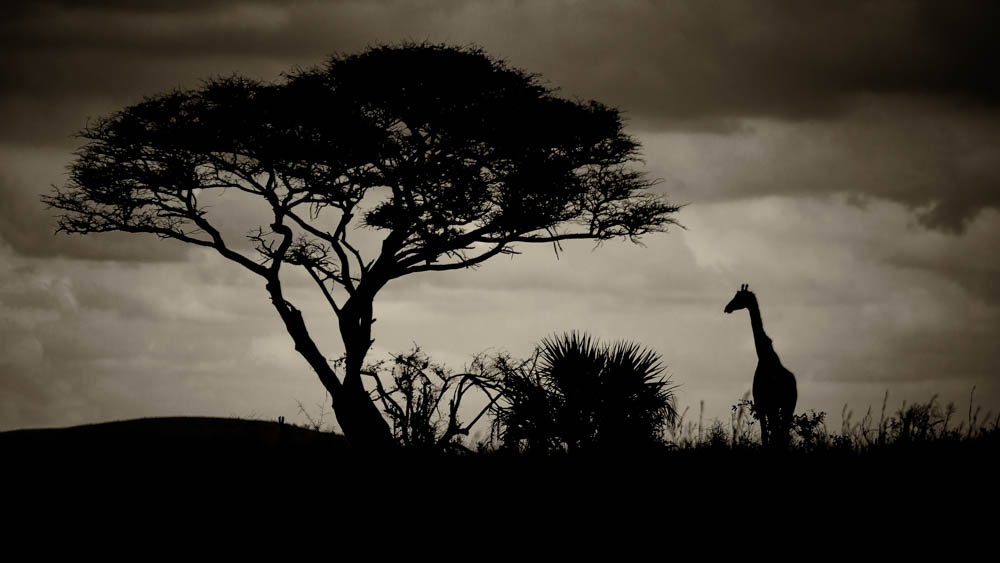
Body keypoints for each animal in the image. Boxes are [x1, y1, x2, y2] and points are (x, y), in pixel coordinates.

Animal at [728, 284, 796, 448]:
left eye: (739, 297)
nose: (727, 308)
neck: (764, 355)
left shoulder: (762, 404)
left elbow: (766, 435)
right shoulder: (767, 406)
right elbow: (768, 434)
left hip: (778, 406)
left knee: (779, 432)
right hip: (788, 406)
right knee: (783, 432)